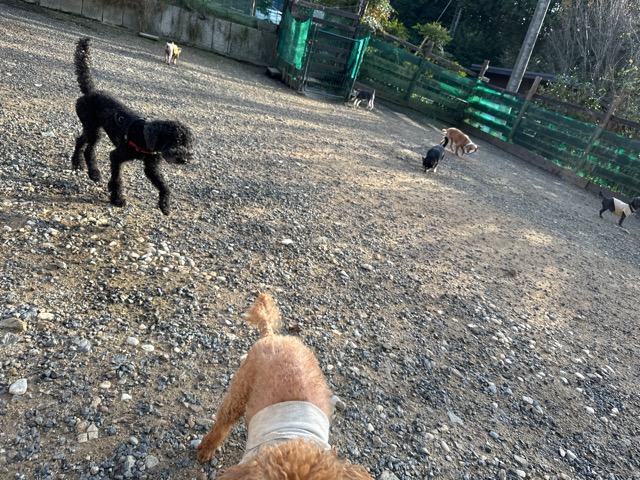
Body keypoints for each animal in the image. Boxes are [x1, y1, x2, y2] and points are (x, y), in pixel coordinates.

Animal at [71, 37, 193, 215]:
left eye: (187, 144)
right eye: (175, 141)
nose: (184, 159)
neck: (144, 136)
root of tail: (90, 92)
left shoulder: (151, 166)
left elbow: (164, 185)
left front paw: (165, 205)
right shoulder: (116, 156)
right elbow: (117, 178)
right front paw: (117, 198)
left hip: (93, 128)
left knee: (81, 141)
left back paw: (79, 164)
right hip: (92, 127)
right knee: (88, 148)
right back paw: (91, 171)